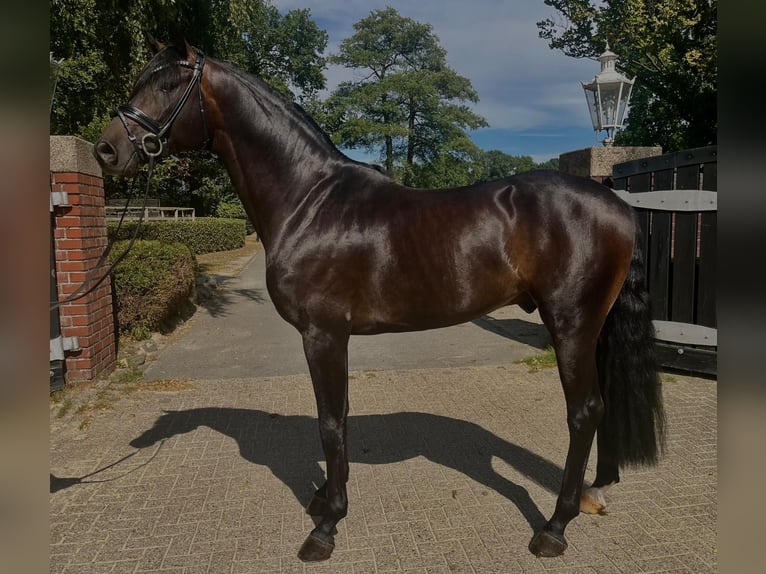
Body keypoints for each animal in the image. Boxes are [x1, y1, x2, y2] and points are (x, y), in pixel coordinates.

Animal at [94, 39, 665, 561]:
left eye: (169, 84)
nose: (107, 151)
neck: (308, 200)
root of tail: (616, 202)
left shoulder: (323, 334)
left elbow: (330, 423)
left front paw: (326, 527)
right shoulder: (332, 338)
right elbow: (339, 418)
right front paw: (324, 500)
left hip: (570, 325)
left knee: (583, 412)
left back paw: (554, 528)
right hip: (592, 329)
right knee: (600, 408)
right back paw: (594, 493)